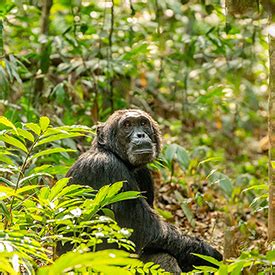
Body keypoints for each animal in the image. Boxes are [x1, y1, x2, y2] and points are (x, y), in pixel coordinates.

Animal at [64, 110, 222, 274]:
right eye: (127, 125)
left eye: (143, 123)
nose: (140, 135)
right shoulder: (109, 169)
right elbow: (149, 232)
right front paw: (209, 254)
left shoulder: (144, 173)